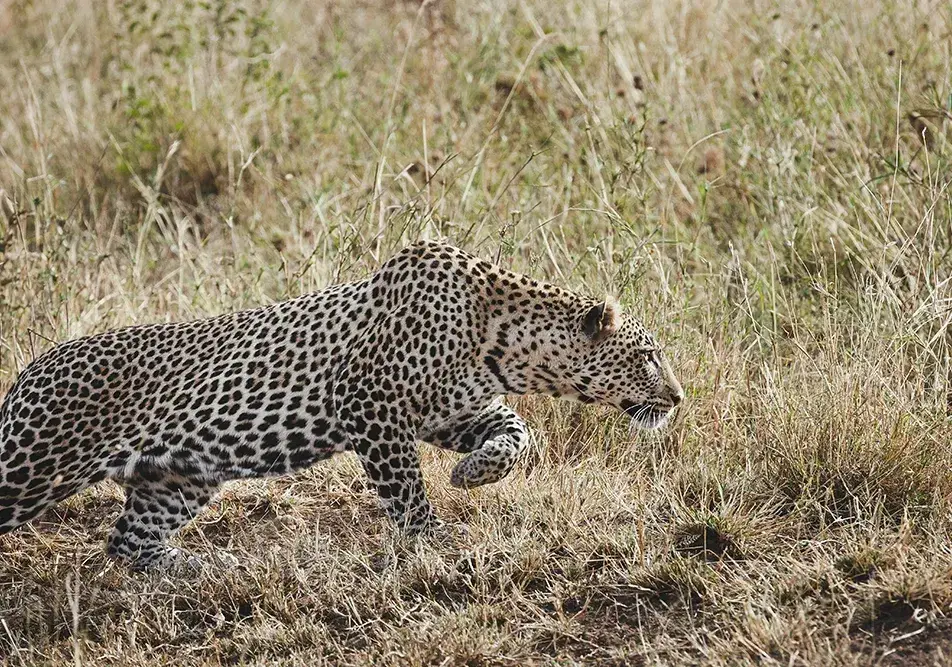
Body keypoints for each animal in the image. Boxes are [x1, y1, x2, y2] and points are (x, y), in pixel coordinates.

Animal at [0, 240, 683, 569]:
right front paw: (433, 541)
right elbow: (406, 491)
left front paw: (473, 473)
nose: (678, 397)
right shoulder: (373, 411)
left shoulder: (452, 412)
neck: (506, 343)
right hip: (31, 465)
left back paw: (203, 565)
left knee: (127, 544)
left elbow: (517, 432)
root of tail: (28, 371)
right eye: (650, 356)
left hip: (179, 477)